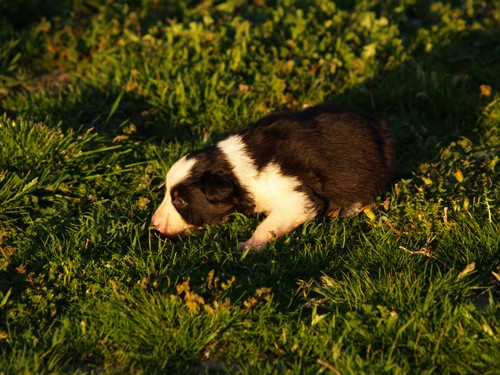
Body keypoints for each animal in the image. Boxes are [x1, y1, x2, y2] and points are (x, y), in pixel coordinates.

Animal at [150, 103, 392, 251]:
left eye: (180, 201)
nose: (154, 224)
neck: (236, 170)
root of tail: (378, 124)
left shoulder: (297, 197)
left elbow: (270, 223)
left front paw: (249, 246)